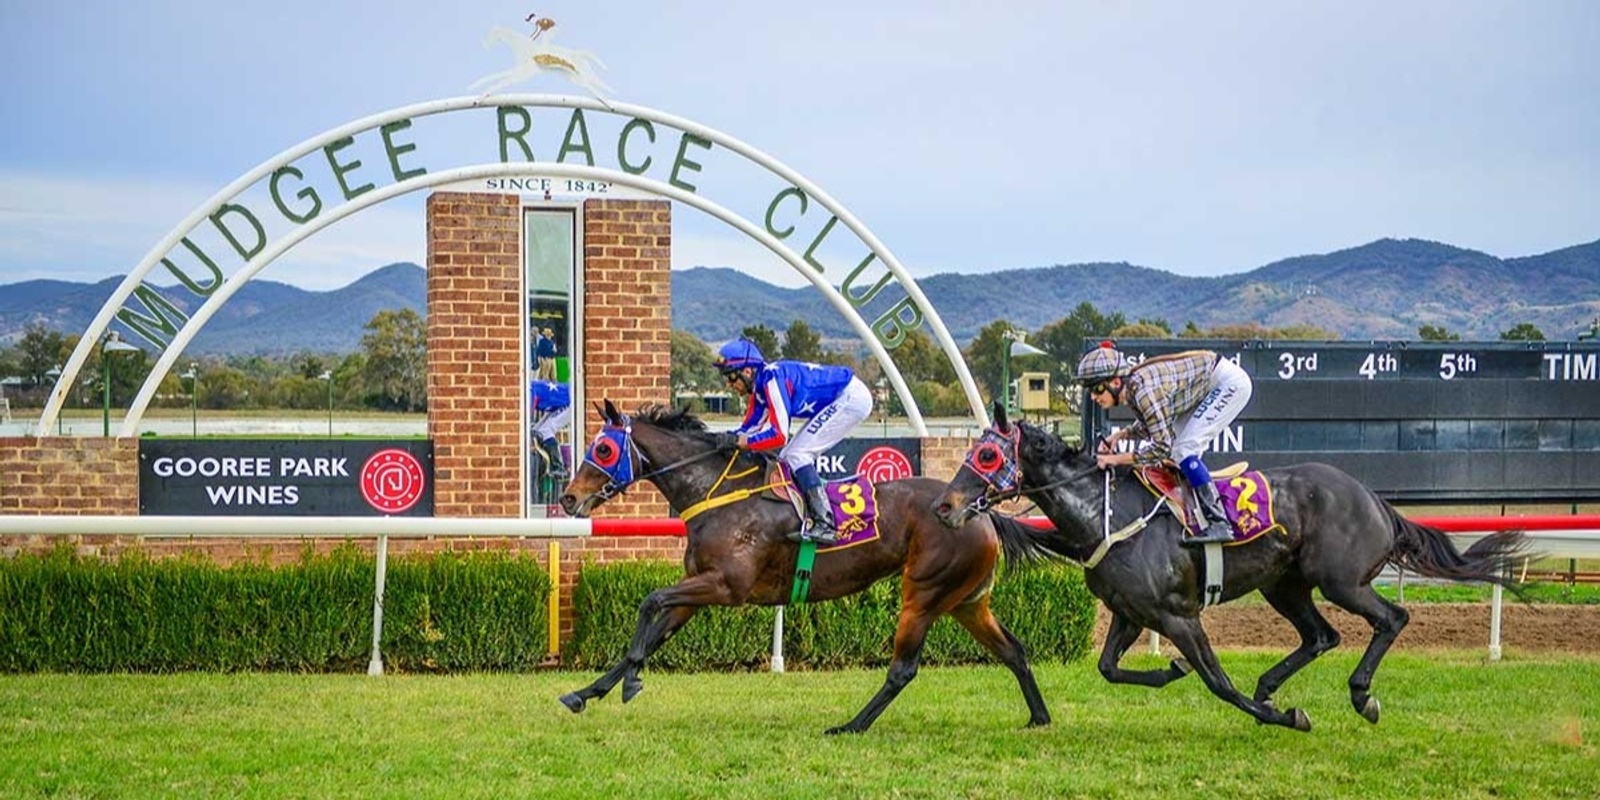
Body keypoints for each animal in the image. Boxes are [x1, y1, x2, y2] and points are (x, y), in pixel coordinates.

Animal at [556, 403, 1056, 732]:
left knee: (903, 669)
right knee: (1014, 650)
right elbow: (655, 627)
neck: (718, 495)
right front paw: (586, 692)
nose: (567, 497)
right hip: (966, 601)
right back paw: (1039, 717)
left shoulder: (725, 587)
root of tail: (980, 511)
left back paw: (852, 726)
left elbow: (649, 602)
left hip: (925, 593)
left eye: (603, 449)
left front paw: (630, 680)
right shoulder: (699, 588)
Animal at [934, 403, 1529, 732]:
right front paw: (1171, 671)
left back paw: (1360, 696)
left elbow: (1218, 684)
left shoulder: (1178, 616)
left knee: (1391, 619)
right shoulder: (1132, 613)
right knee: (1321, 636)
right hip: (1286, 586)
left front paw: (1287, 717)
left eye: (986, 456)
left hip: (1340, 580)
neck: (1107, 517)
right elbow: (1108, 668)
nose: (945, 505)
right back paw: (1271, 685)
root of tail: (1375, 500)